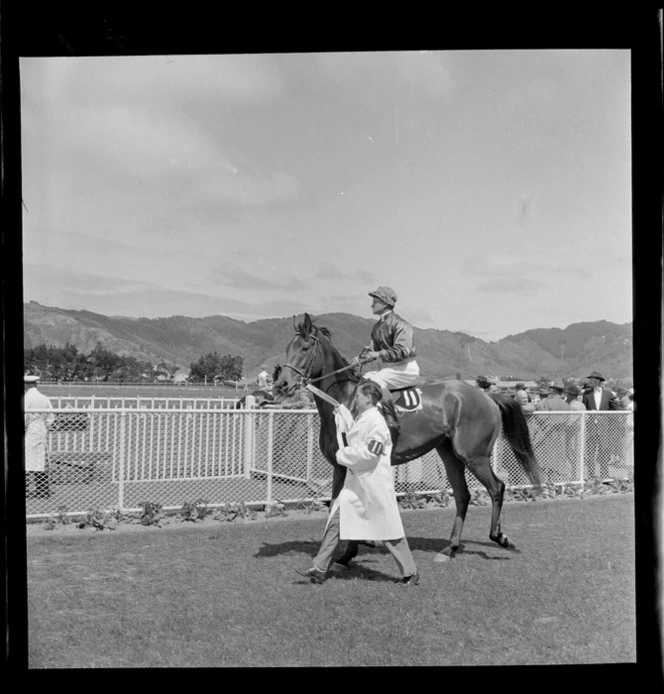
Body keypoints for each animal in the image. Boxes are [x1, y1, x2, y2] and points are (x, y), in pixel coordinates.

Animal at [272, 316, 544, 564]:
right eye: (286, 348)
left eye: (305, 347)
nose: (282, 384)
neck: (343, 402)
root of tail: (488, 396)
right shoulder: (341, 467)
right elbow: (340, 506)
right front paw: (352, 549)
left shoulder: (352, 465)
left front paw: (352, 549)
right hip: (449, 454)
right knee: (463, 495)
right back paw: (451, 548)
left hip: (474, 455)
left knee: (496, 487)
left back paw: (500, 537)